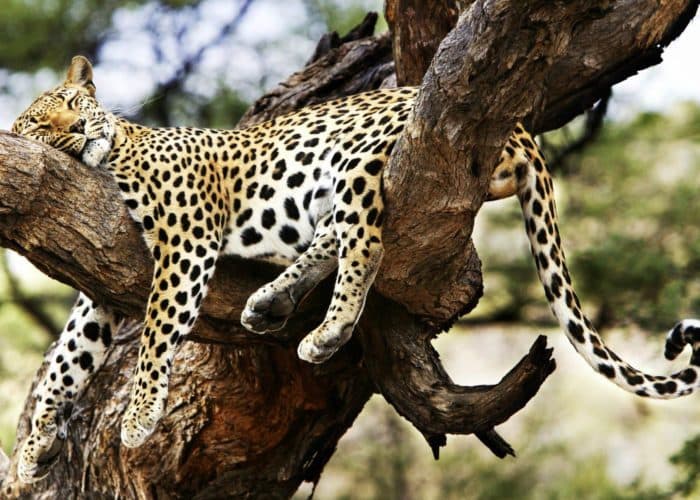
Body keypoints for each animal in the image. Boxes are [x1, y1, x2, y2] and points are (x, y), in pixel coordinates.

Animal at [10, 55, 700, 483]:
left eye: (72, 102)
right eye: (44, 124)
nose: (79, 127)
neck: (114, 155)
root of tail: (524, 129)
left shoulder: (187, 239)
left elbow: (156, 333)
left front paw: (139, 416)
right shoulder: (101, 285)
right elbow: (68, 358)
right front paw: (34, 443)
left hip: (358, 155)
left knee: (365, 244)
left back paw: (328, 331)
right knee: (335, 237)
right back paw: (272, 303)